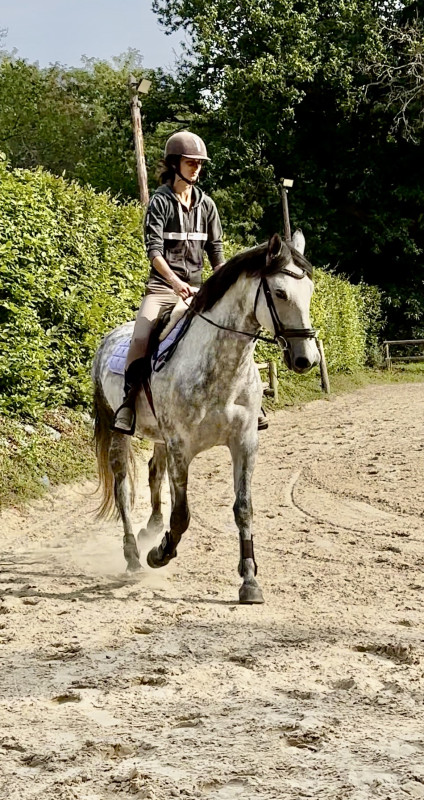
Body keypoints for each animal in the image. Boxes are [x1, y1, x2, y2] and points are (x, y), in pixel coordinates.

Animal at [92, 231, 320, 604]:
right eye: (280, 293)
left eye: (311, 292)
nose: (306, 359)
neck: (221, 368)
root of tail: (107, 340)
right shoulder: (181, 447)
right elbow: (182, 515)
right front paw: (160, 554)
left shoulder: (244, 443)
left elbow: (243, 508)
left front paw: (249, 581)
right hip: (119, 433)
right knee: (124, 487)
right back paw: (134, 556)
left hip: (159, 438)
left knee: (154, 472)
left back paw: (151, 527)